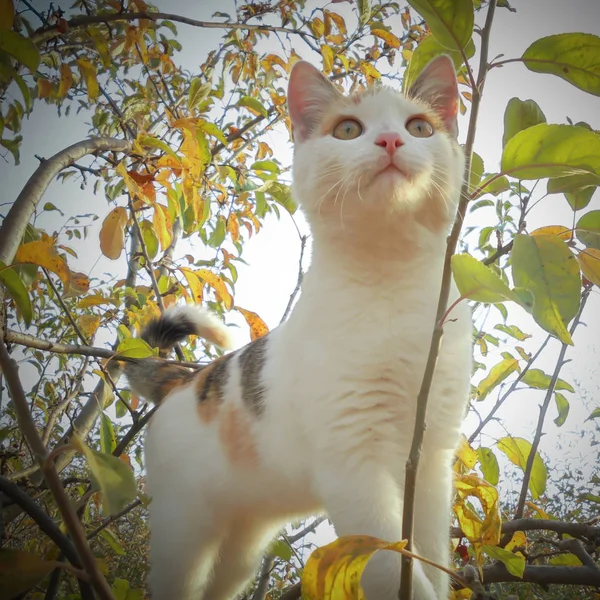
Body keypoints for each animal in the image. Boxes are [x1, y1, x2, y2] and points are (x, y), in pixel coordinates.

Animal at [126, 56, 474, 600]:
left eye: (419, 127)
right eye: (348, 129)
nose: (391, 141)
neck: (391, 284)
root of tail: (185, 378)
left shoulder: (431, 462)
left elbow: (431, 560)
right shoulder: (354, 464)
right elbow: (397, 567)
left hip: (241, 549)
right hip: (185, 534)